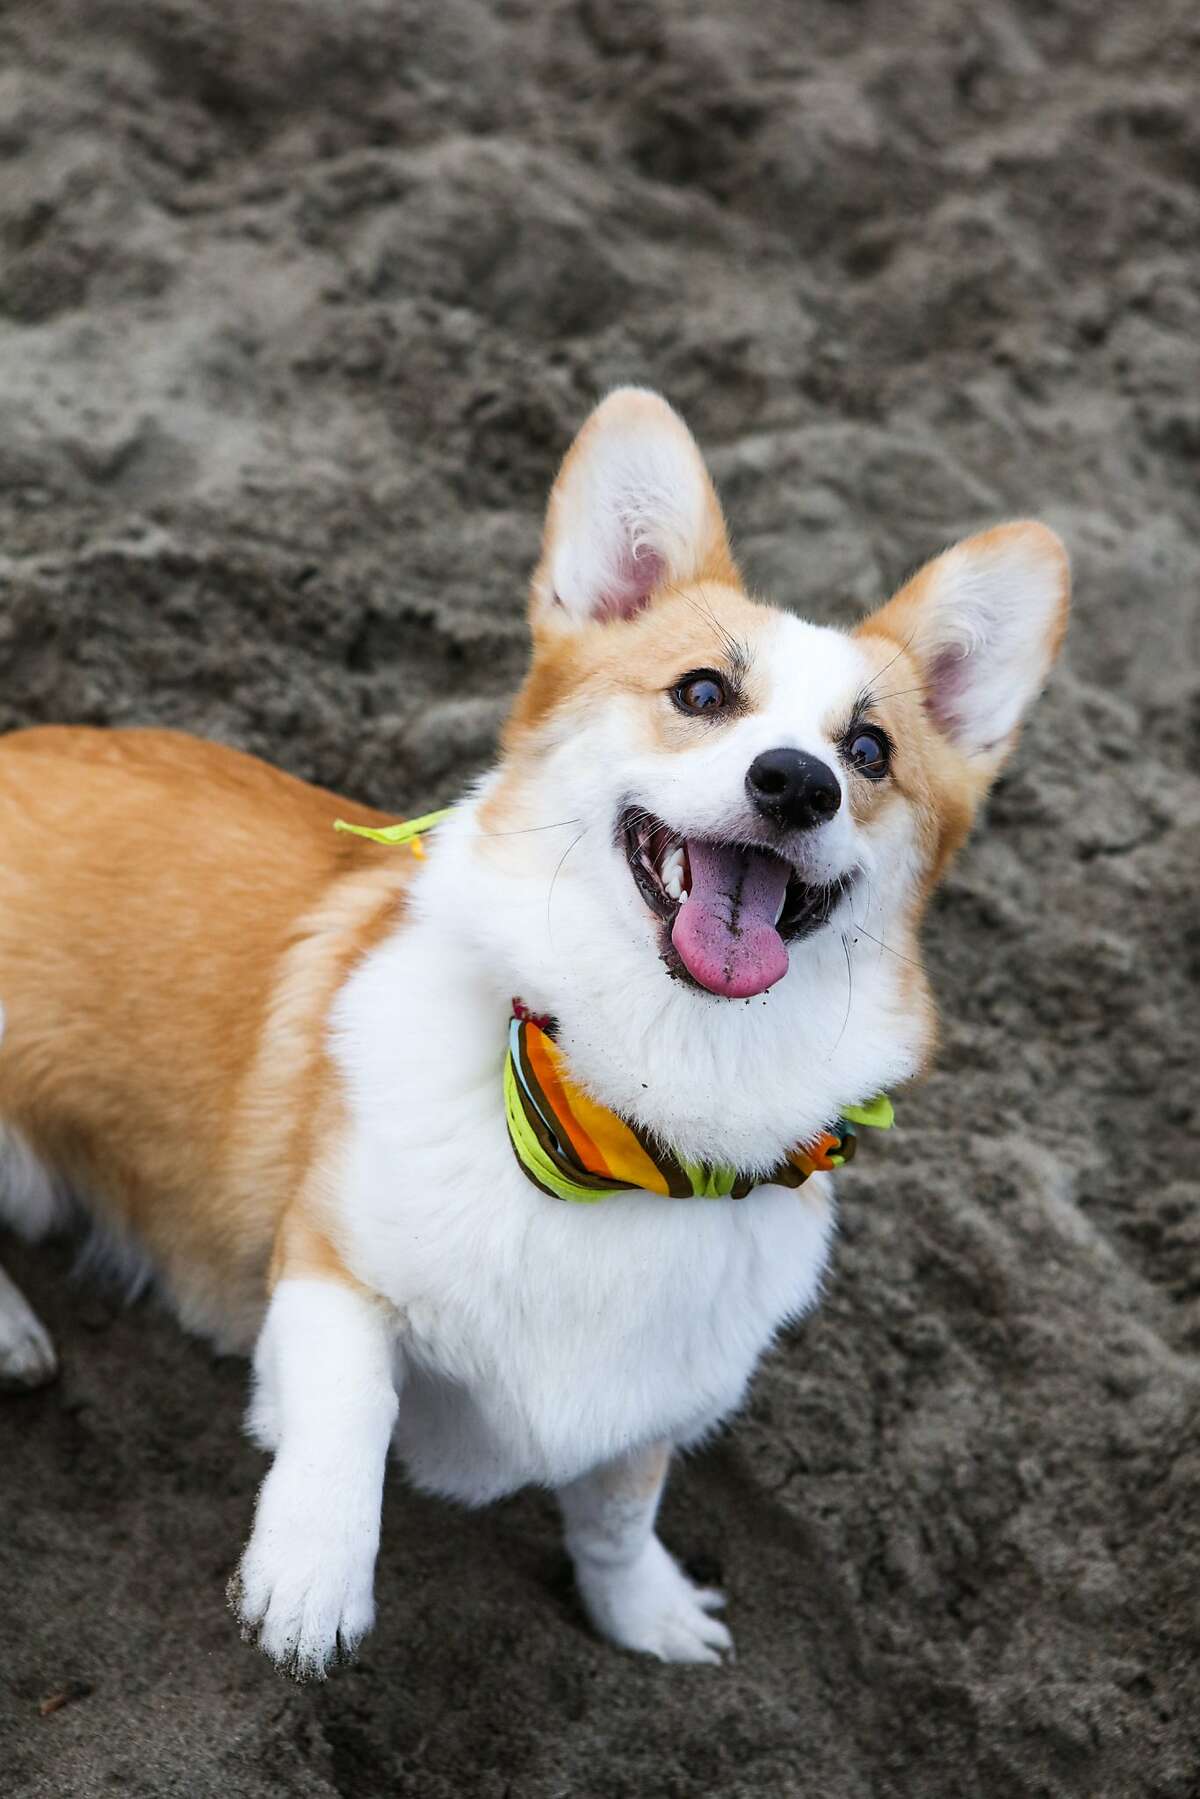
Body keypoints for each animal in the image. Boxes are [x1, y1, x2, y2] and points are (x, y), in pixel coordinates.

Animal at [0, 390, 1072, 1669]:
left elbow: (619, 1512)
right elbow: (348, 1410)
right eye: (702, 693)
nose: (796, 783)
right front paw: (310, 1583)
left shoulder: (650, 1404)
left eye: (869, 753)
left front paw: (646, 1614)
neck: (631, 1115)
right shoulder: (328, 1264)